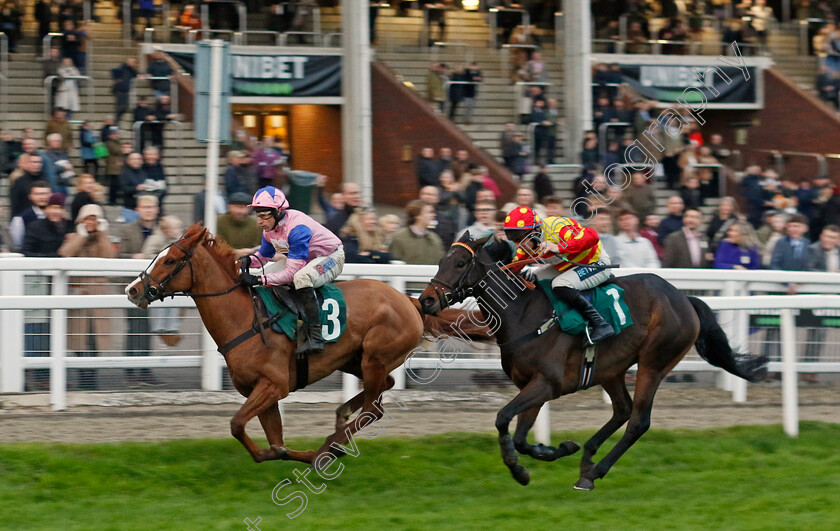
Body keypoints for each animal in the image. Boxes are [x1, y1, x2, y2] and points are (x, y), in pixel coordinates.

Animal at [124, 224, 486, 470]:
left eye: (170, 260)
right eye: (158, 256)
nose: (133, 290)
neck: (245, 318)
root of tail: (411, 301)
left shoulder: (273, 385)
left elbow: (237, 425)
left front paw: (313, 455)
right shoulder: (261, 391)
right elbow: (274, 443)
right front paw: (289, 453)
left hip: (373, 356)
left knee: (375, 407)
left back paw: (331, 445)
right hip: (357, 360)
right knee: (384, 387)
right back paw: (340, 422)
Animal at [420, 235, 768, 492]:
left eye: (461, 263)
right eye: (440, 261)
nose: (426, 300)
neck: (523, 313)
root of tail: (684, 298)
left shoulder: (547, 383)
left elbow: (503, 417)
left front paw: (520, 469)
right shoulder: (533, 384)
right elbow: (519, 436)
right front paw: (552, 453)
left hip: (654, 362)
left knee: (638, 421)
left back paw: (593, 473)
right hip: (610, 368)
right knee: (622, 410)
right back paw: (586, 457)